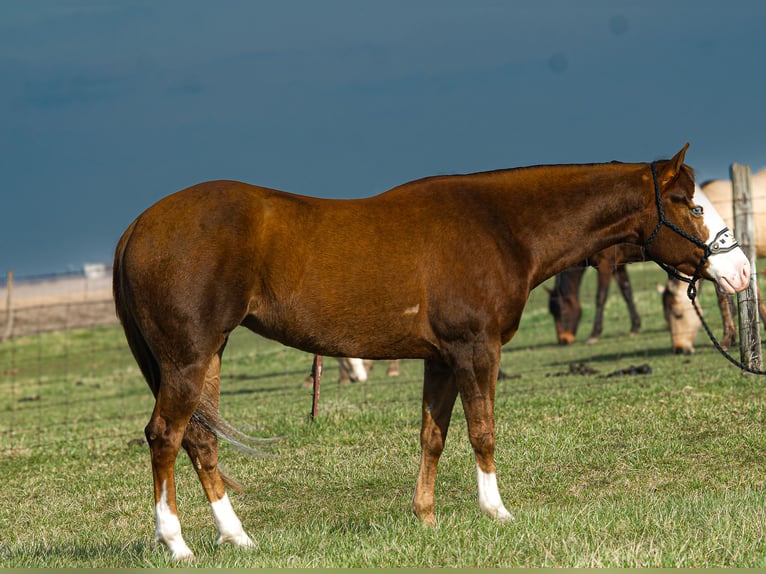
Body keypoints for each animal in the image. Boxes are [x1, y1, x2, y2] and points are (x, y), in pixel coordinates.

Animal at [114, 145, 752, 564]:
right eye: (689, 204)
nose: (742, 271)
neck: (500, 228)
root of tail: (137, 228)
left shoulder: (441, 358)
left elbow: (433, 435)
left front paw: (426, 517)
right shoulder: (475, 348)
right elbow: (482, 430)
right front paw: (496, 511)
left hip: (207, 357)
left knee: (200, 439)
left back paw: (237, 537)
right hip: (188, 359)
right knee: (165, 437)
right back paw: (176, 544)